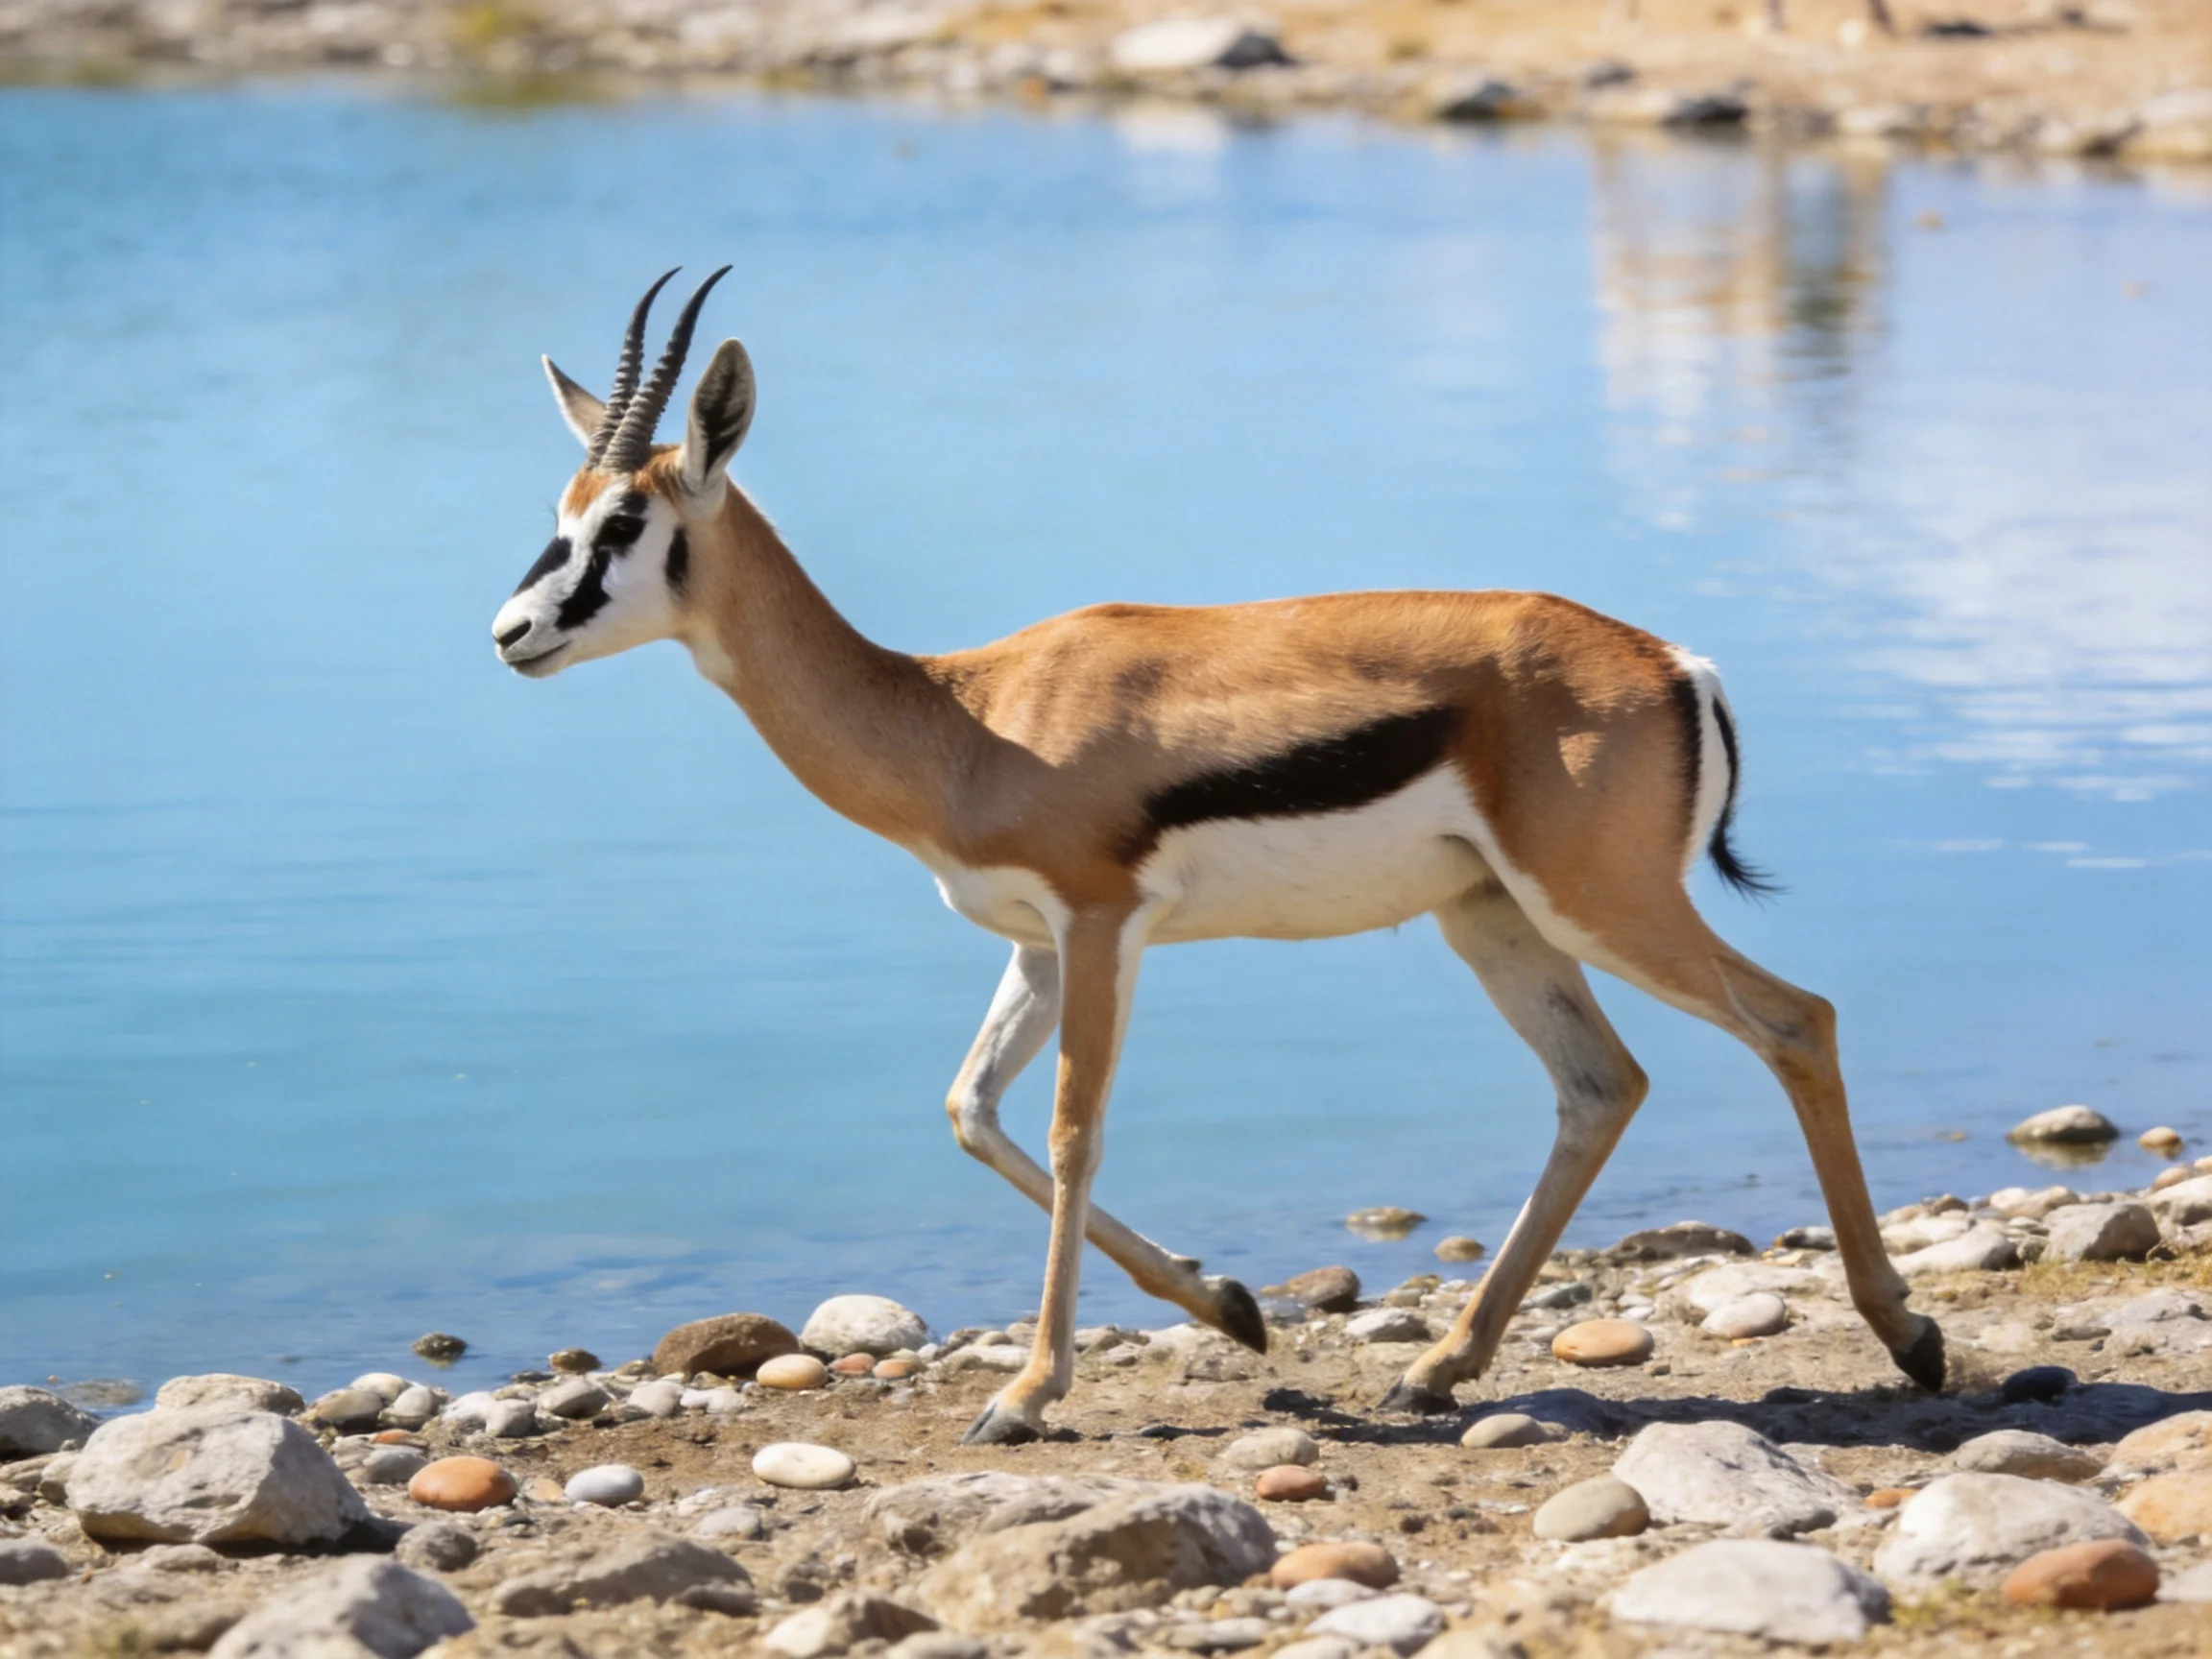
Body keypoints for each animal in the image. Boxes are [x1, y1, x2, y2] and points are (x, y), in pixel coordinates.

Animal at [491, 270, 1946, 1444]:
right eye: (563, 507)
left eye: (623, 526)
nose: (511, 632)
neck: (965, 717)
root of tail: (1672, 662)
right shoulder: (1034, 943)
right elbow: (972, 1112)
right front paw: (1235, 1308)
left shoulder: (1097, 927)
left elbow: (1072, 1130)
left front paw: (1029, 1396)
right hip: (1494, 919)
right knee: (1602, 1087)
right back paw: (1437, 1369)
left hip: (1601, 905)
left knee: (1796, 1020)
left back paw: (1910, 1336)